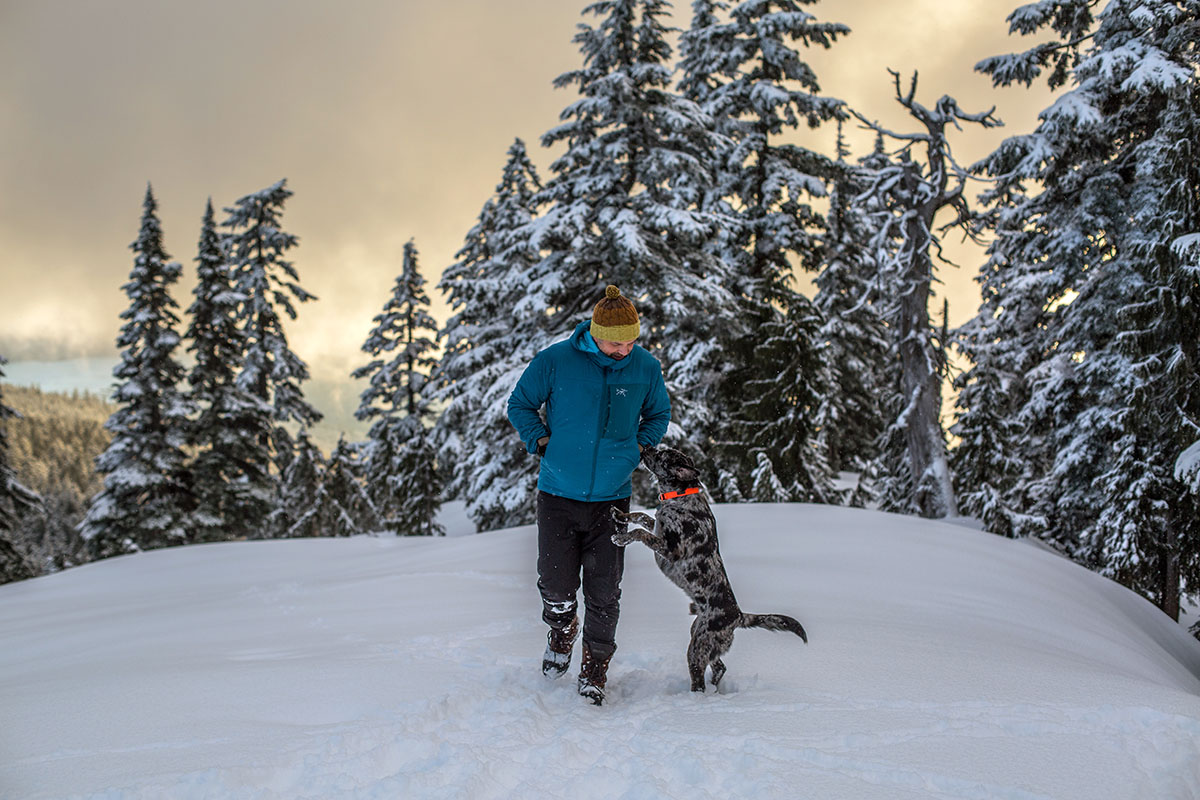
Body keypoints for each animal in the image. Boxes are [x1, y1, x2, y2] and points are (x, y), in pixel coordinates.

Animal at [609, 448, 806, 690]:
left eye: (661, 454)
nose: (645, 448)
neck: (680, 495)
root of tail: (738, 616)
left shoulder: (670, 549)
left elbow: (640, 533)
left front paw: (621, 537)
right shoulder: (657, 527)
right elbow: (642, 516)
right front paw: (620, 515)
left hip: (698, 647)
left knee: (700, 679)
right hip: (698, 635)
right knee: (720, 666)